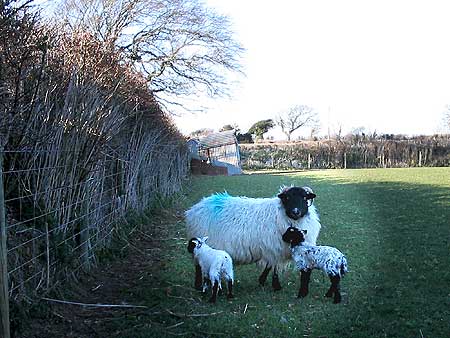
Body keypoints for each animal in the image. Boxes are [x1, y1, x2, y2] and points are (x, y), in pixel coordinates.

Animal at [185, 185, 322, 290]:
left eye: (304, 197)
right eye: (287, 197)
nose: (296, 211)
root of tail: (195, 208)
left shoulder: (273, 249)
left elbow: (269, 266)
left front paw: (262, 280)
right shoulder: (274, 248)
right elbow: (274, 267)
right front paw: (276, 285)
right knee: (198, 266)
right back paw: (198, 285)